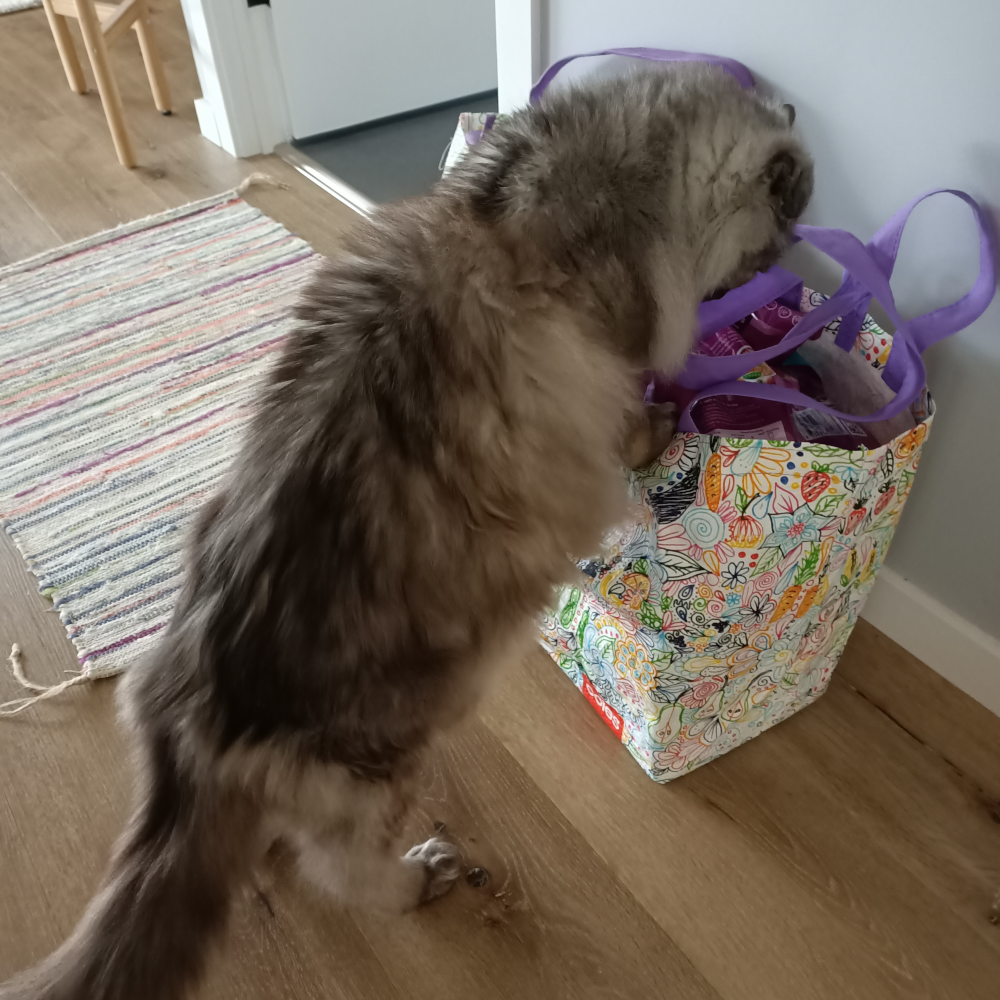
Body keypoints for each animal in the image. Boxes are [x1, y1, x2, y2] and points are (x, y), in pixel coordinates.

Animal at [0, 66, 812, 996]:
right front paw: (672, 416)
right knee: (341, 868)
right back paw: (419, 878)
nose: (766, 283)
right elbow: (639, 422)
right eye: (766, 248)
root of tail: (186, 710)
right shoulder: (608, 382)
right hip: (391, 752)